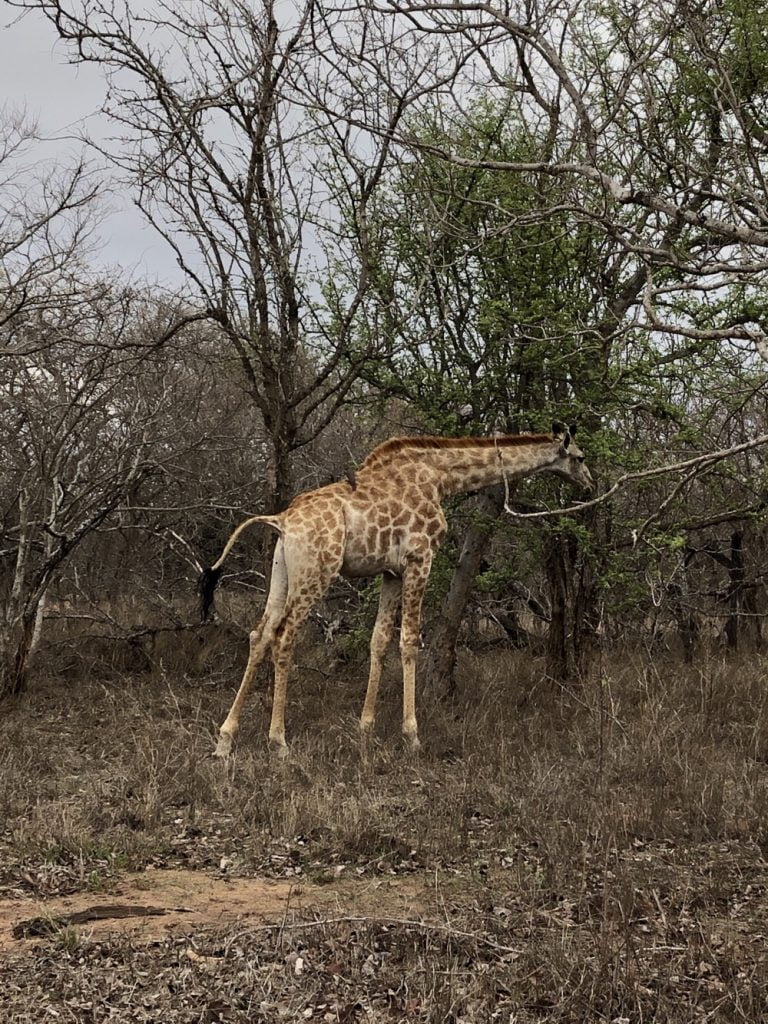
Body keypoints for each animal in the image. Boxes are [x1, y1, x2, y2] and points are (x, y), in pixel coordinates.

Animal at [199, 419, 593, 757]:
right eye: (580, 457)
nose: (590, 484)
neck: (441, 479)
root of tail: (281, 520)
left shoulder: (390, 571)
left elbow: (379, 640)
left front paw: (364, 730)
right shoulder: (421, 558)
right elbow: (409, 641)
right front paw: (412, 735)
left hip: (282, 573)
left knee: (260, 634)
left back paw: (225, 739)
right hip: (317, 572)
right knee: (283, 637)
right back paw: (278, 741)